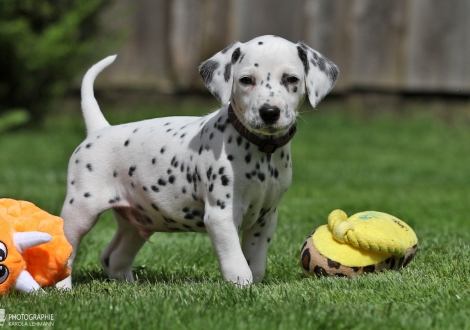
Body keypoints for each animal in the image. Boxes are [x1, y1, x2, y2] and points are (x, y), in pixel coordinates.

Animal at [56, 35, 338, 288]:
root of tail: (100, 129)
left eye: (291, 79)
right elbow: (237, 265)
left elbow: (254, 264)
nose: (269, 112)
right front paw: (242, 290)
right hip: (80, 210)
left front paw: (256, 288)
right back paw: (63, 288)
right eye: (246, 80)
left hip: (138, 219)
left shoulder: (265, 218)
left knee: (113, 257)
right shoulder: (221, 216)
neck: (261, 150)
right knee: (68, 250)